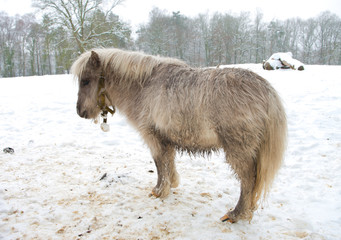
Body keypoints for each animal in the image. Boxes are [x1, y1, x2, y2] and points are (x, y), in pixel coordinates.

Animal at [70, 48, 286, 223]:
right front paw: (171, 184)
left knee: (248, 179)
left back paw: (236, 214)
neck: (143, 86)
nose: (80, 112)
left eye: (86, 81)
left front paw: (159, 191)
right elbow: (169, 161)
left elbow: (159, 163)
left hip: (239, 150)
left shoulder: (153, 137)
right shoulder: (166, 139)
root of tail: (266, 91)